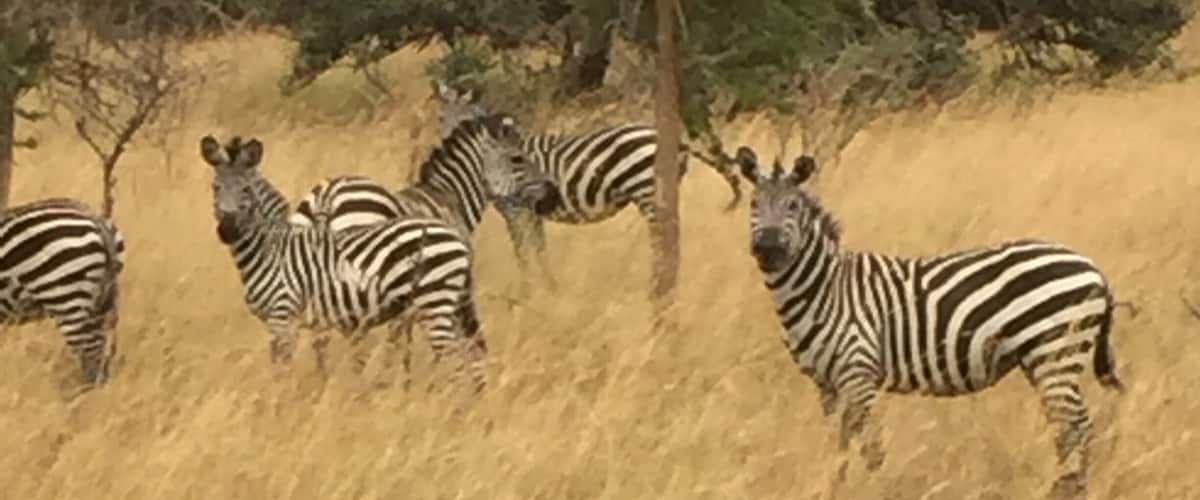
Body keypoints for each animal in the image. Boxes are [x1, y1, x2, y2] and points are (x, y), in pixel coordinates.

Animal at [200, 134, 489, 394]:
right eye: (215, 188)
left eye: (246, 190)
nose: (227, 231)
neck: (270, 250)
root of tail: (454, 236)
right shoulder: (280, 321)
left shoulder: (283, 316)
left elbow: (284, 370)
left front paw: (281, 403)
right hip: (447, 303)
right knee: (467, 350)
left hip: (434, 301)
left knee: (453, 359)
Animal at [432, 79, 742, 281]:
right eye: (441, 118)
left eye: (463, 123)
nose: (447, 145)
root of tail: (675, 141)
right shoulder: (533, 212)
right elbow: (539, 251)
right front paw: (548, 287)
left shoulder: (516, 209)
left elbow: (523, 254)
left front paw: (529, 291)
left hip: (647, 192)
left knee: (662, 236)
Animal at [736, 146, 1123, 498]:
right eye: (754, 205)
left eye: (792, 206)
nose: (767, 250)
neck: (825, 290)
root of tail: (1093, 267)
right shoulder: (826, 384)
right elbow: (839, 446)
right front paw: (835, 485)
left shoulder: (859, 373)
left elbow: (871, 449)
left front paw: (875, 489)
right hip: (1043, 359)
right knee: (1069, 428)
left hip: (1056, 352)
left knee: (1077, 426)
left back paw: (1071, 489)